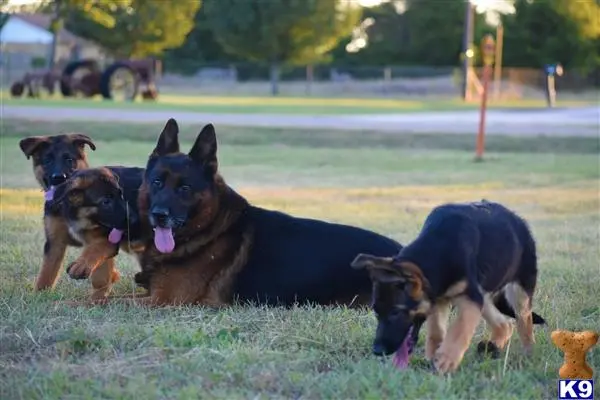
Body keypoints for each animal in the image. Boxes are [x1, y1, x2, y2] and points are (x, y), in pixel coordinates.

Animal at [119, 119, 400, 306]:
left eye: (185, 188)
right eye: (157, 182)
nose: (159, 215)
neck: (209, 229)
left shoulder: (165, 300)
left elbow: (110, 301)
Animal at [350, 202, 548, 374]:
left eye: (395, 312)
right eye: (377, 312)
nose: (377, 350)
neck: (438, 250)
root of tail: (517, 218)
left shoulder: (469, 298)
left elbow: (460, 328)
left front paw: (447, 358)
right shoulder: (440, 298)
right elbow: (436, 331)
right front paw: (433, 354)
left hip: (519, 291)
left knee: (524, 321)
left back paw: (529, 353)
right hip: (483, 294)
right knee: (505, 324)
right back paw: (492, 347)